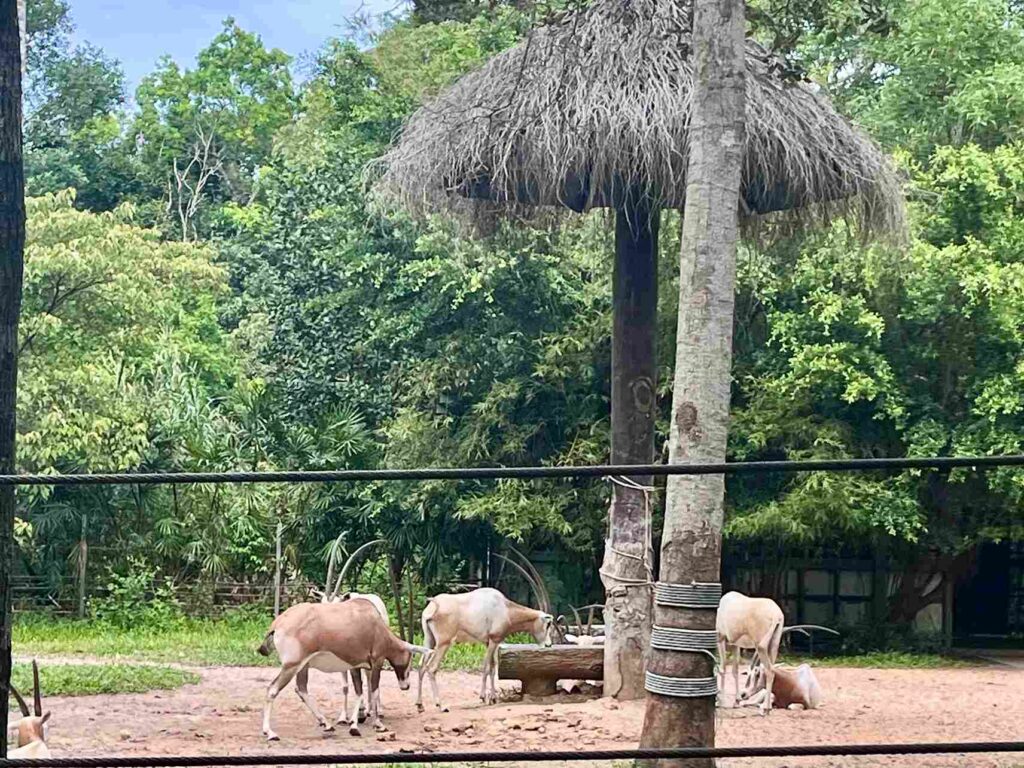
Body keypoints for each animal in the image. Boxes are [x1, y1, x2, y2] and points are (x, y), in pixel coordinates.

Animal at [415, 589, 552, 716]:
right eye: (548, 624)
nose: (549, 644)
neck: (505, 608)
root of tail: (433, 606)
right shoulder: (493, 641)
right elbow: (487, 667)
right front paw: (483, 697)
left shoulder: (490, 643)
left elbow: (492, 668)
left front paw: (493, 698)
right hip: (444, 643)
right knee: (431, 668)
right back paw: (441, 706)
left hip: (429, 641)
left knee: (421, 666)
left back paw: (420, 705)